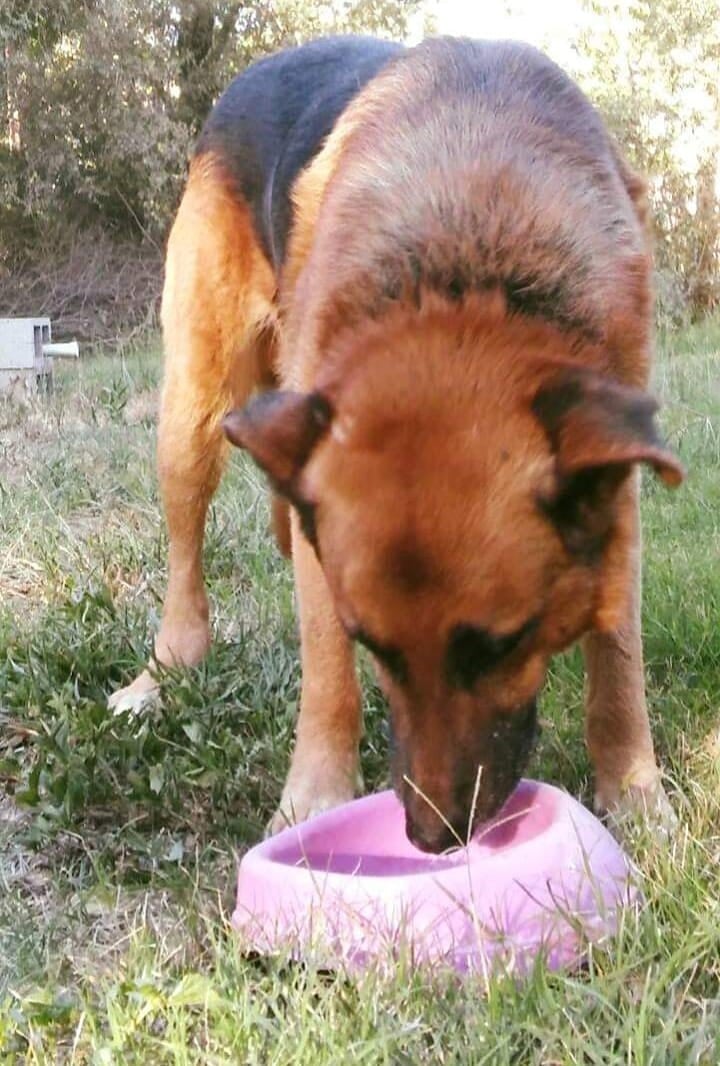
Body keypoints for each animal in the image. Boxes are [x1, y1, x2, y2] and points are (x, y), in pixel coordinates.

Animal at [109, 33, 682, 852]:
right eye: (374, 645)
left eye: (503, 646)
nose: (431, 839)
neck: (470, 259)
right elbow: (327, 673)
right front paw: (313, 800)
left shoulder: (618, 482)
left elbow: (618, 664)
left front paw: (637, 797)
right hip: (193, 412)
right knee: (187, 561)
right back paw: (160, 675)